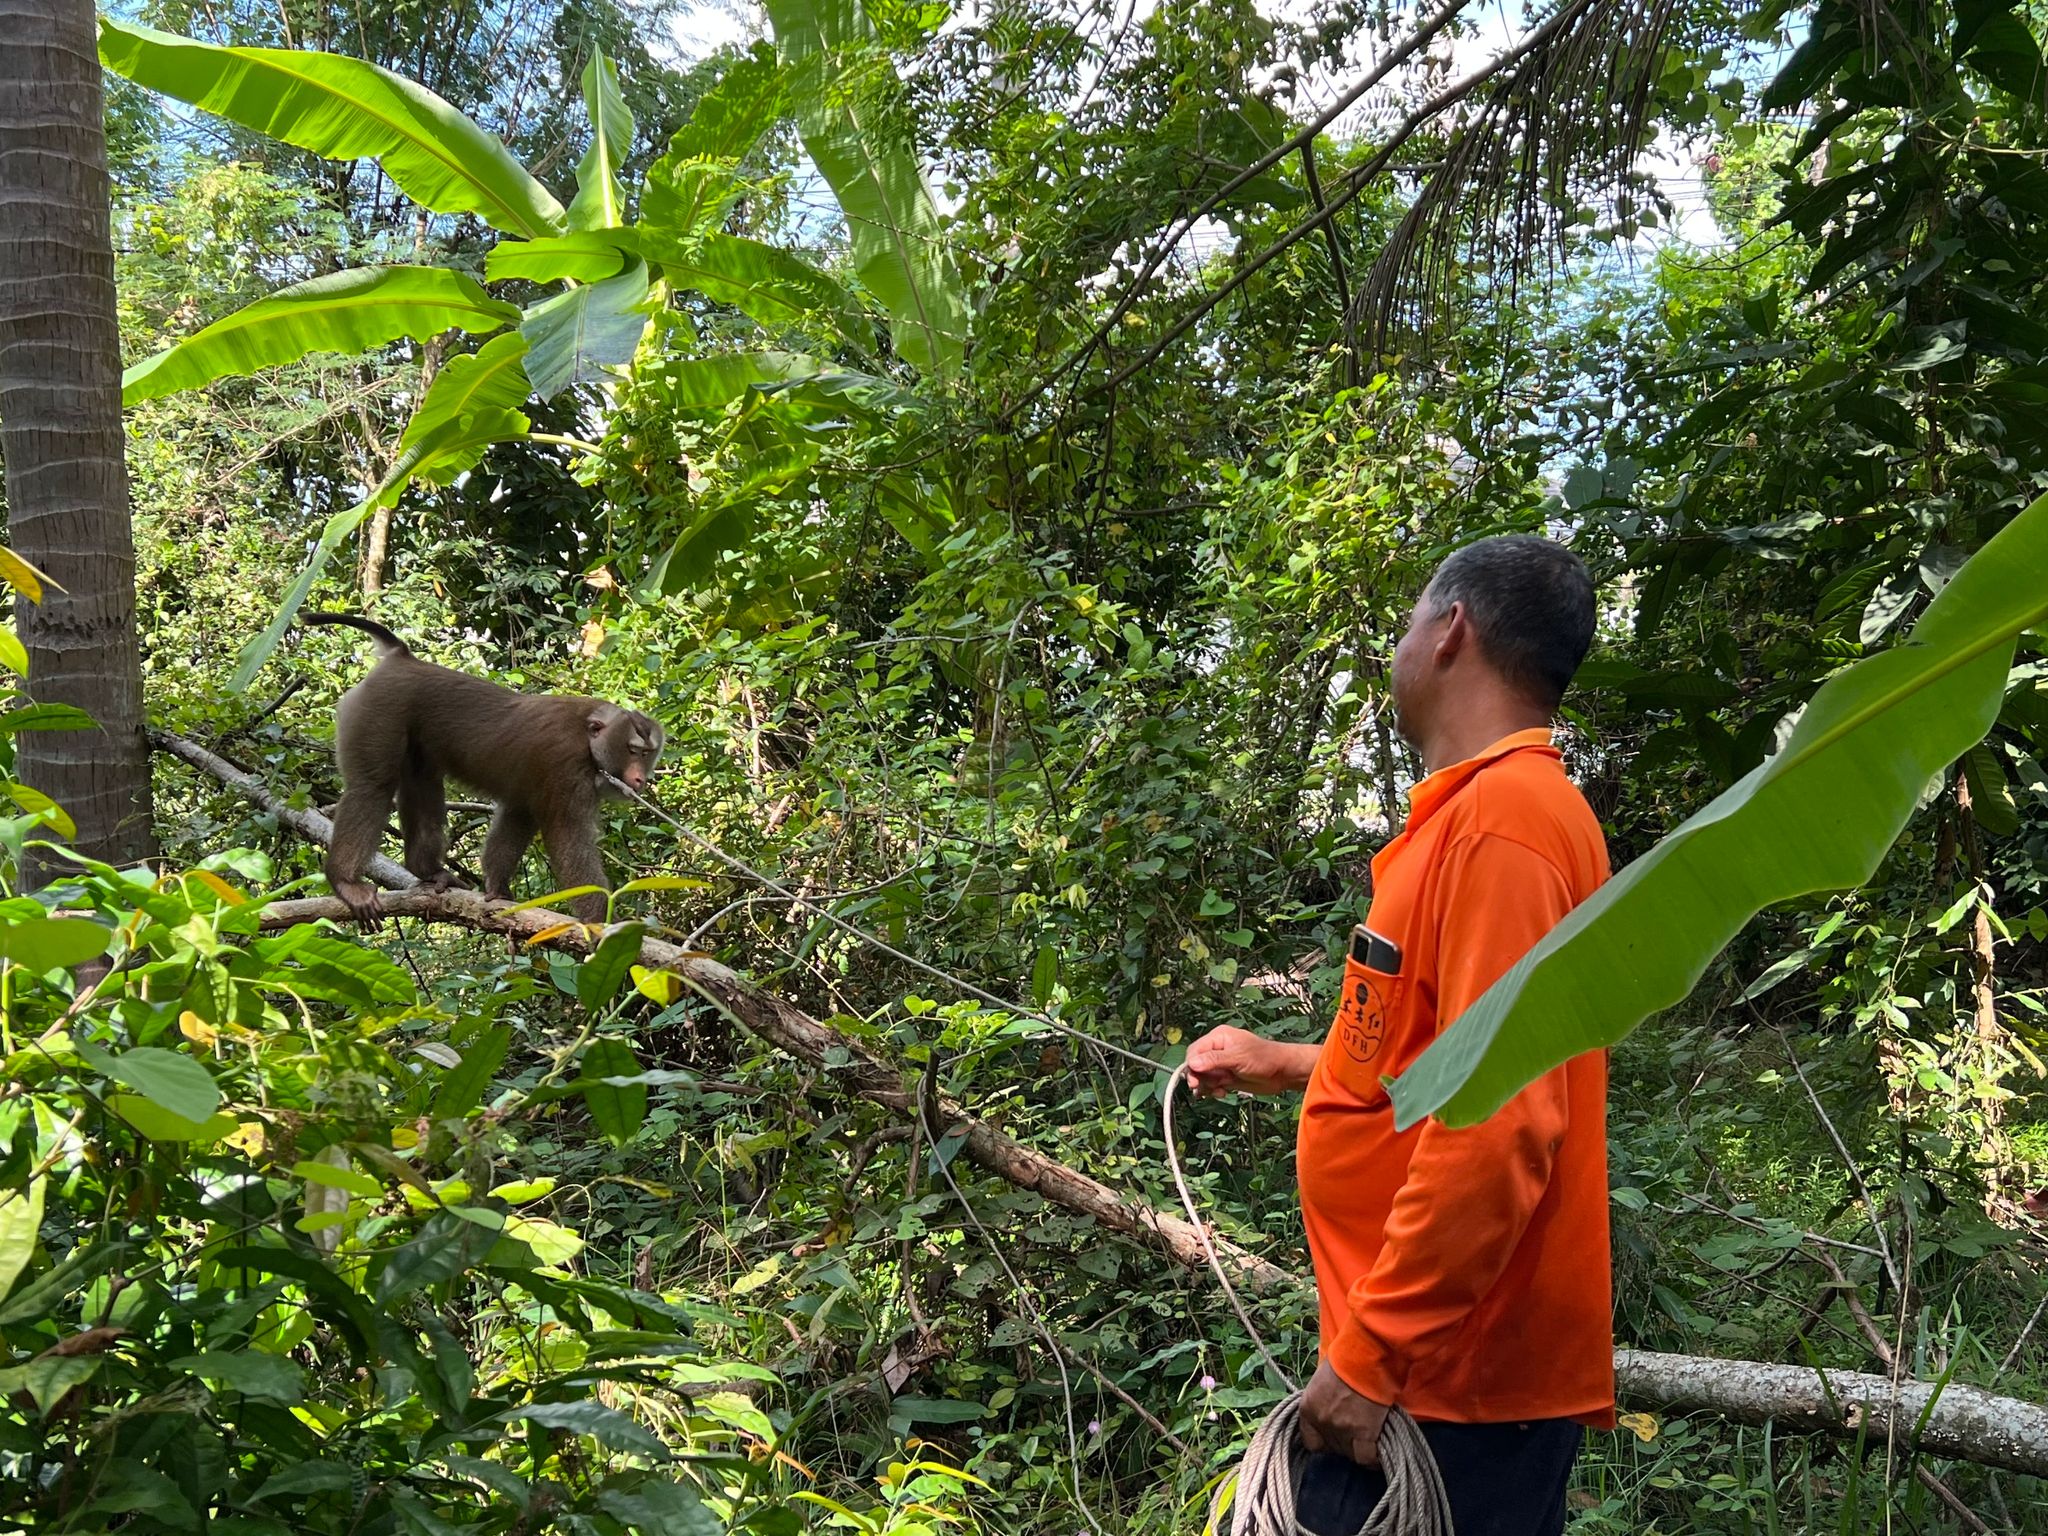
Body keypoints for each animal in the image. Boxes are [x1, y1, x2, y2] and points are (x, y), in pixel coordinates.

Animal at [304, 613, 665, 927]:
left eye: (648, 753)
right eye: (633, 750)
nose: (640, 778)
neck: (587, 737)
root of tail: (402, 659)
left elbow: (518, 815)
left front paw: (496, 887)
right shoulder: (566, 768)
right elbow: (568, 838)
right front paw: (599, 922)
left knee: (423, 781)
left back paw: (426, 869)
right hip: (381, 707)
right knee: (372, 786)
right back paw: (345, 881)